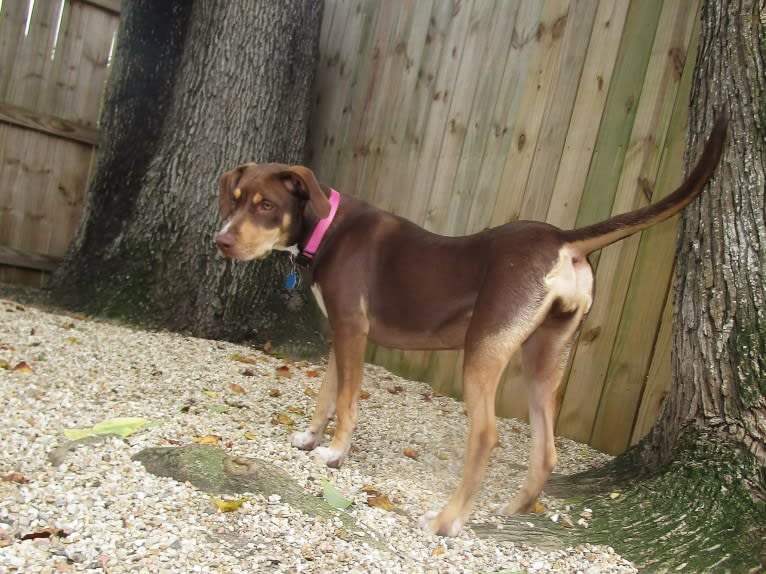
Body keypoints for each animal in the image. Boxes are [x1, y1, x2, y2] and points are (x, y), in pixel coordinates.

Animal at [214, 113, 728, 540]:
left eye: (265, 204)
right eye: (235, 200)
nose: (220, 242)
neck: (327, 227)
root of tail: (563, 239)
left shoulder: (352, 330)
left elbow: (345, 400)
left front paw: (335, 453)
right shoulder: (341, 333)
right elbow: (327, 392)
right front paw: (310, 439)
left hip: (484, 350)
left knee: (485, 436)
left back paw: (447, 520)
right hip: (545, 354)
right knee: (546, 449)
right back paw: (513, 509)